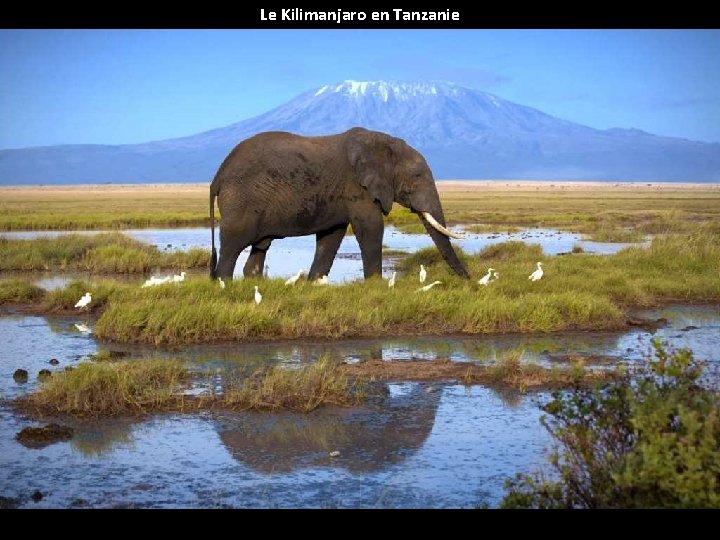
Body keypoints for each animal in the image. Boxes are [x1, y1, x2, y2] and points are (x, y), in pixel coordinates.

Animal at [207, 126, 472, 280]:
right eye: (417, 176)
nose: (468, 280)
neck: (382, 143)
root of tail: (218, 175)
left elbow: (331, 236)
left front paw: (314, 283)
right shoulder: (357, 187)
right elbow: (370, 228)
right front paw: (375, 285)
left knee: (260, 247)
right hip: (241, 199)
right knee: (233, 244)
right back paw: (224, 285)